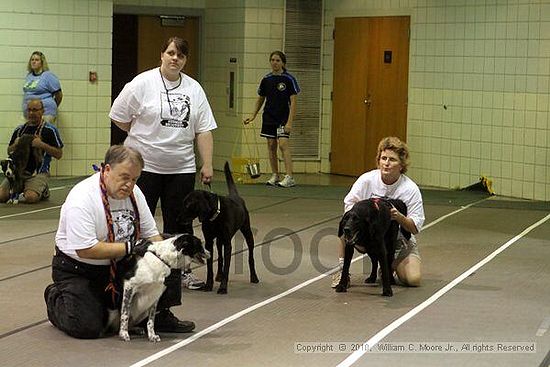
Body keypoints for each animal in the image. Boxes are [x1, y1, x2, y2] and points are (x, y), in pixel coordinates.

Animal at [179, 162, 260, 294]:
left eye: (187, 205)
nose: (177, 219)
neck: (216, 215)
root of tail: (235, 195)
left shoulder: (227, 244)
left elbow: (227, 267)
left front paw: (223, 287)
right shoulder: (209, 242)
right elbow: (210, 266)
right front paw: (209, 285)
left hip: (247, 232)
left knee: (250, 257)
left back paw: (254, 277)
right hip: (218, 240)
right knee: (220, 258)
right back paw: (218, 275)